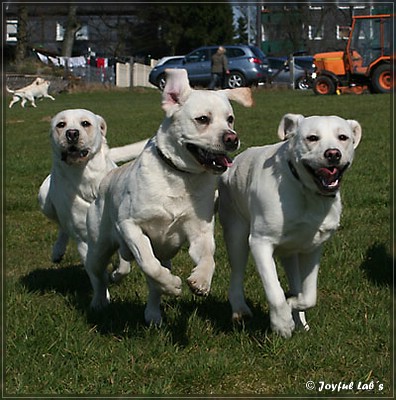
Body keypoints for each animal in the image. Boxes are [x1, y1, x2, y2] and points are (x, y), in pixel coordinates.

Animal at [84, 69, 252, 324]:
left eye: (230, 119)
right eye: (203, 119)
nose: (232, 138)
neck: (180, 178)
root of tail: (108, 177)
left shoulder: (200, 232)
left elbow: (208, 257)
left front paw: (201, 281)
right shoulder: (130, 225)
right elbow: (148, 263)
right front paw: (173, 285)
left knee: (149, 285)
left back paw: (152, 313)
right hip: (99, 247)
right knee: (98, 274)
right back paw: (99, 301)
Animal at [220, 114, 362, 340]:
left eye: (343, 137)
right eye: (312, 138)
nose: (333, 154)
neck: (305, 191)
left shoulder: (313, 248)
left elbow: (309, 295)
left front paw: (294, 305)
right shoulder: (260, 242)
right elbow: (274, 289)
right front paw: (282, 323)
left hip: (290, 253)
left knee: (296, 281)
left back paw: (300, 320)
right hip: (236, 234)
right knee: (237, 273)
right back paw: (240, 310)